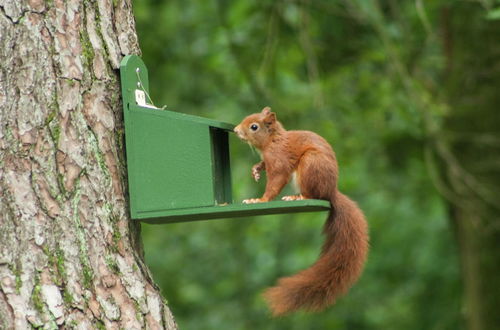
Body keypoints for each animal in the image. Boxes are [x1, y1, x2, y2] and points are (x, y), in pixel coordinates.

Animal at [233, 107, 368, 316]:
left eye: (254, 127)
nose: (235, 130)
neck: (272, 141)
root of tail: (332, 192)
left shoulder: (278, 160)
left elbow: (276, 181)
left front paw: (260, 200)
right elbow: (263, 166)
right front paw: (256, 169)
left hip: (311, 164)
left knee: (313, 193)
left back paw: (298, 197)